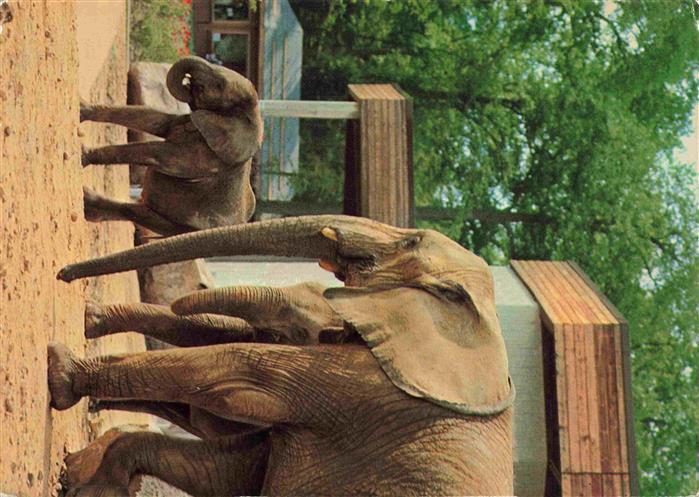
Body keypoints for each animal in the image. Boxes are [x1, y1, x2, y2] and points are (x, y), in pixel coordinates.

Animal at [51, 215, 515, 496]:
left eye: (409, 240)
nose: (62, 273)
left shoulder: (367, 390)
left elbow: (234, 374)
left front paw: (61, 374)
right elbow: (225, 465)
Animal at [80, 56, 263, 236]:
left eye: (220, 84)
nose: (189, 81)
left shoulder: (210, 156)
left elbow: (163, 155)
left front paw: (83, 155)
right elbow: (155, 120)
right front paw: (82, 109)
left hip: (183, 228)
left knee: (138, 213)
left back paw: (86, 200)